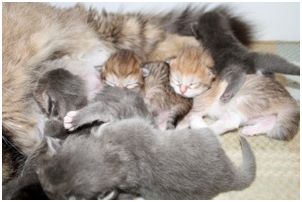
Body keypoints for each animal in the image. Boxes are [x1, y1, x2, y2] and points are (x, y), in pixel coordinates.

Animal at [170, 46, 300, 140]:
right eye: (177, 81)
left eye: (192, 84)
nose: (182, 89)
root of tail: (289, 99)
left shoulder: (198, 106)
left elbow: (184, 119)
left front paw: (175, 130)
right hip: (257, 114)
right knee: (270, 121)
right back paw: (250, 130)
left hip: (243, 100)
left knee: (231, 121)